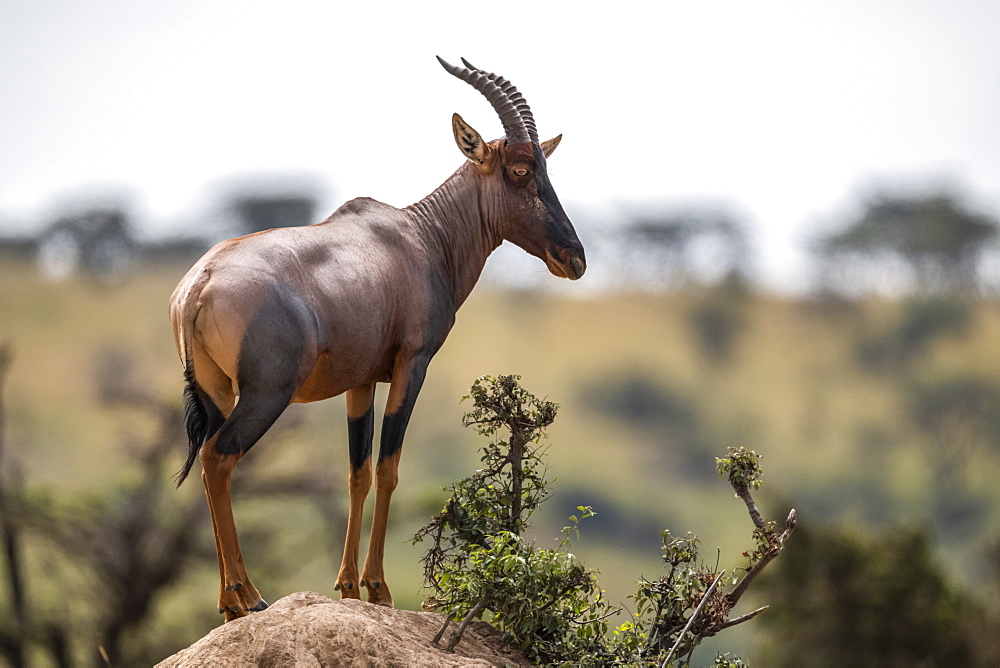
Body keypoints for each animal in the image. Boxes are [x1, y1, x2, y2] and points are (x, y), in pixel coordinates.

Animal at [170, 57, 584, 620]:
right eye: (520, 169)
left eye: (545, 166)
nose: (575, 258)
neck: (418, 235)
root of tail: (200, 284)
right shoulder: (413, 364)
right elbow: (389, 468)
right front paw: (379, 589)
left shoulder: (360, 380)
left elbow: (357, 472)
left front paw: (346, 586)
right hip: (266, 394)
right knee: (219, 457)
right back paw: (249, 596)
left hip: (215, 392)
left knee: (208, 464)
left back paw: (229, 604)